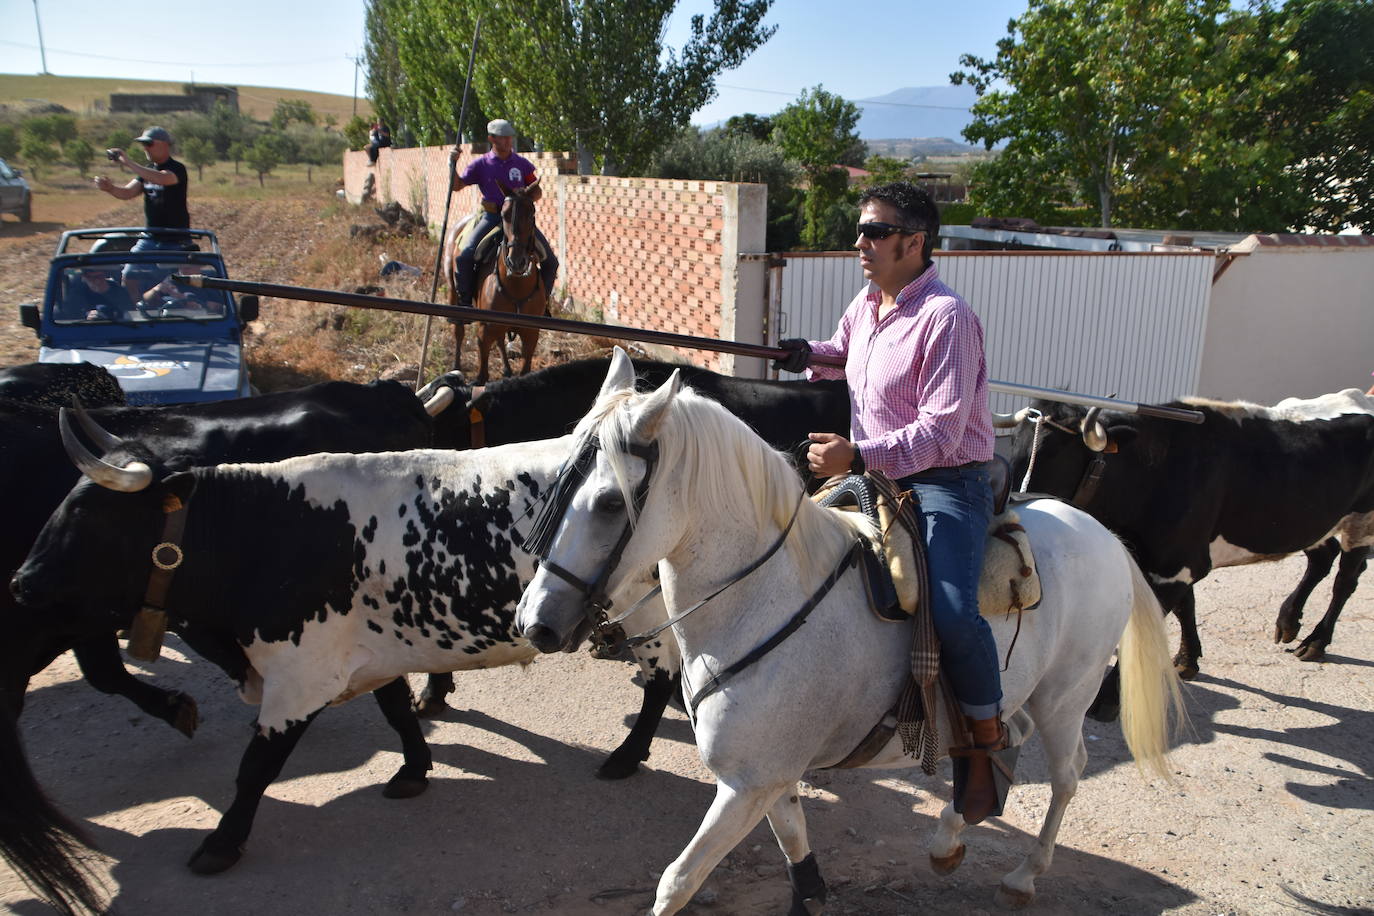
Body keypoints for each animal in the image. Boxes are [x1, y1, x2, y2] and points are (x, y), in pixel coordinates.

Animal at [5, 417, 659, 878]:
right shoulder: (374, 651)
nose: (21, 583)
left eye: (92, 516)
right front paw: (414, 770)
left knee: (659, 684)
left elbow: (255, 767)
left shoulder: (299, 679)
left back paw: (627, 756)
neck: (263, 532)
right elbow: (397, 711)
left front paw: (221, 843)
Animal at [442, 184, 544, 384]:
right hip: (453, 291)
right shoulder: (485, 332)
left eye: (531, 214)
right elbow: (482, 374)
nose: (516, 261)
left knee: (500, 340)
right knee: (458, 330)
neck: (516, 286)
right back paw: (456, 367)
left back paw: (506, 368)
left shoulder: (531, 335)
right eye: (504, 215)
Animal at [519, 348, 1187, 911]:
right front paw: (811, 893)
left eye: (611, 502)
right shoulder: (770, 777)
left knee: (1067, 772)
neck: (763, 598)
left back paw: (1024, 874)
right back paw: (948, 837)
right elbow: (793, 838)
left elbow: (678, 881)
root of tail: (1103, 534)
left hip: (1065, 696)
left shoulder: (745, 783)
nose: (536, 623)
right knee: (1004, 738)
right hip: (1018, 692)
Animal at [1000, 387, 1374, 694]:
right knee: (1322, 558)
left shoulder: (1177, 564)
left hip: (1361, 522)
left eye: (1054, 451)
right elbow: (1186, 606)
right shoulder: (1176, 559)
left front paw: (1107, 702)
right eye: (1014, 442)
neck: (1154, 469)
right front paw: (1186, 660)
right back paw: (1288, 622)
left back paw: (1316, 641)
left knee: (1346, 579)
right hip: (1312, 520)